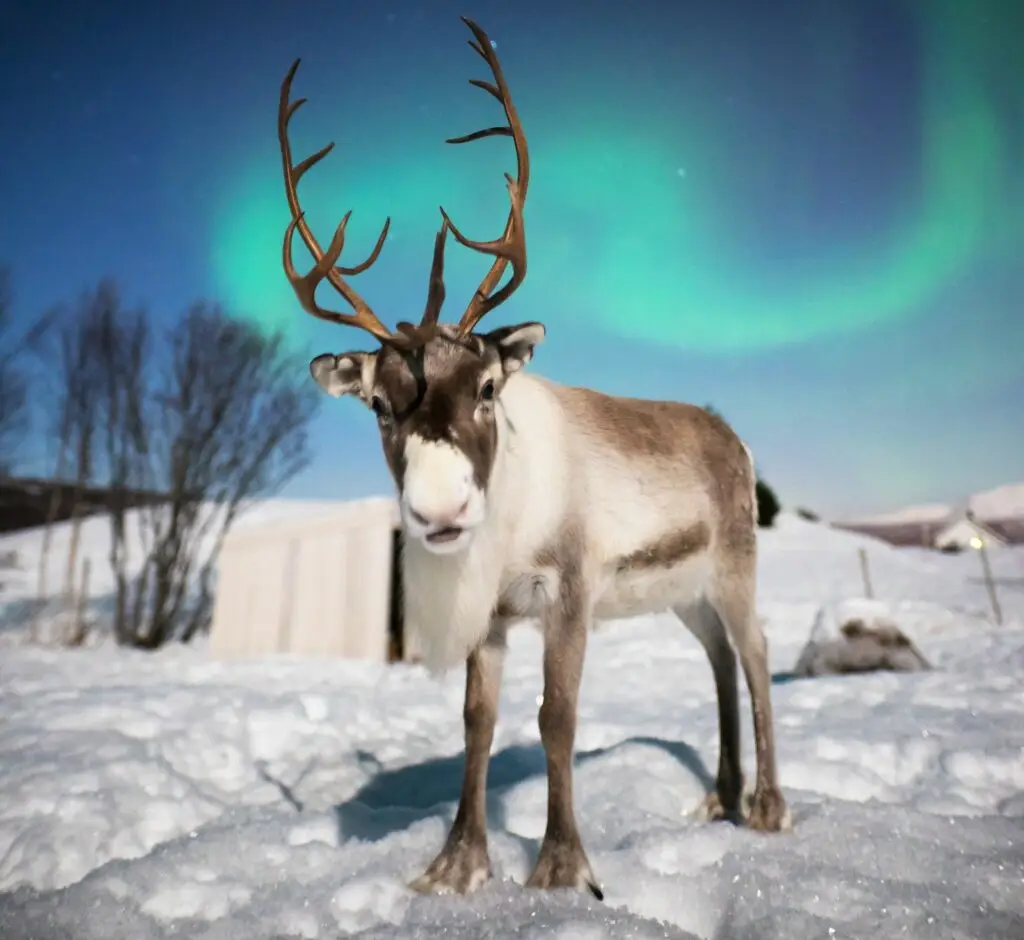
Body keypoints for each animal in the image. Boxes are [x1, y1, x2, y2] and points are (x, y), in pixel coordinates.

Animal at [277, 16, 790, 901]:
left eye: (487, 387)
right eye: (378, 404)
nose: (441, 513)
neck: (506, 527)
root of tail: (731, 433)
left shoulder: (569, 591)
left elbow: (557, 716)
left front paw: (560, 866)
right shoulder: (492, 614)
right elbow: (477, 722)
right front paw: (456, 864)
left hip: (733, 567)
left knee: (755, 655)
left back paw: (767, 807)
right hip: (683, 592)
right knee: (719, 658)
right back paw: (718, 800)